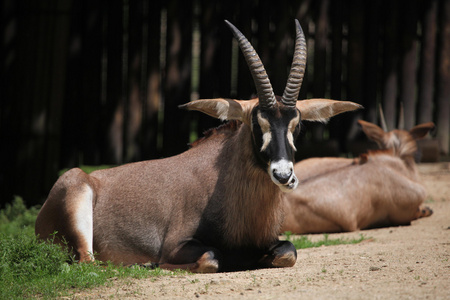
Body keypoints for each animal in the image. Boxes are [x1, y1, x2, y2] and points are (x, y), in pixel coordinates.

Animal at [35, 18, 362, 272]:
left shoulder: (271, 242)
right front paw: (157, 263)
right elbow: (211, 257)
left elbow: (288, 252)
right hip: (77, 199)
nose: (284, 175)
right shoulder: (177, 244)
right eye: (257, 123)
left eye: (297, 125)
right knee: (87, 261)